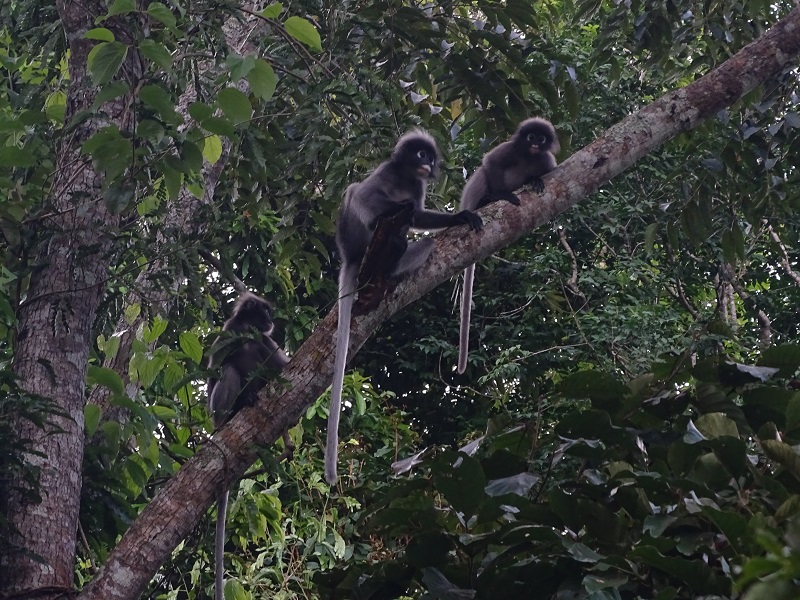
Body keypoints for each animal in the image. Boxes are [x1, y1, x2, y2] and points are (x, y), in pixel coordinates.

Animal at [207, 291, 291, 600]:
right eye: (265, 311)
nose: (271, 320)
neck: (246, 329)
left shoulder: (263, 338)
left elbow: (281, 365)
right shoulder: (229, 330)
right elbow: (214, 371)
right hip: (218, 413)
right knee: (228, 369)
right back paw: (238, 406)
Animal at [327, 129, 483, 485]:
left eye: (429, 156)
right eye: (420, 154)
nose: (427, 162)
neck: (406, 177)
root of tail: (350, 256)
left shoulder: (418, 186)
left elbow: (420, 214)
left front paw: (460, 216)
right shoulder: (386, 173)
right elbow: (366, 194)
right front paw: (397, 206)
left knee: (422, 242)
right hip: (354, 235)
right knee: (356, 192)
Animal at [456, 117, 559, 374]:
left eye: (540, 138)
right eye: (531, 137)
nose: (535, 143)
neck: (529, 155)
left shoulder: (547, 161)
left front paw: (535, 179)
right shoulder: (508, 150)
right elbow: (490, 163)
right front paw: (499, 195)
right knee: (481, 174)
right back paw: (487, 200)